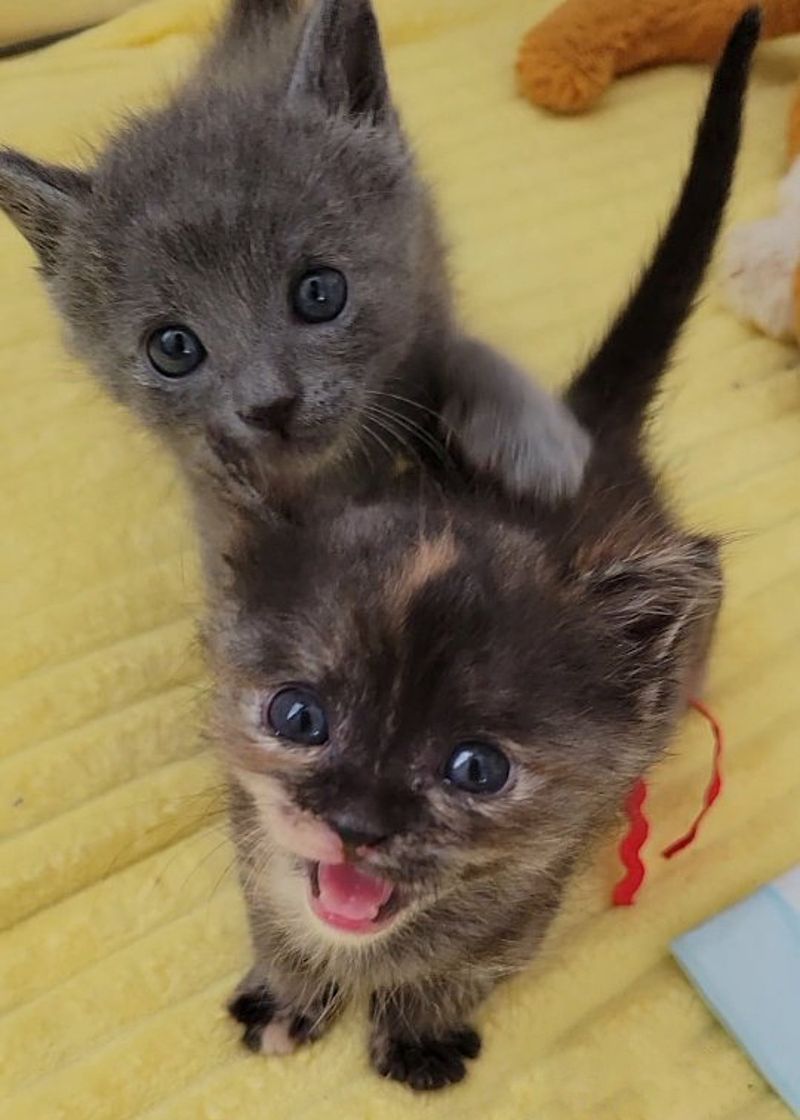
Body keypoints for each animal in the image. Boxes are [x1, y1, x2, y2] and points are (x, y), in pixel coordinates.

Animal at [0, 0, 587, 568]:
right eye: (173, 347)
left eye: (319, 292)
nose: (269, 407)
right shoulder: (205, 471)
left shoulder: (425, 281)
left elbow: (457, 348)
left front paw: (535, 439)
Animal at [202, 13, 757, 1088]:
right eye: (298, 715)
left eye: (478, 769)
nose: (357, 827)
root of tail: (590, 433)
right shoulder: (252, 828)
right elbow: (273, 909)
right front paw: (289, 992)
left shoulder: (546, 863)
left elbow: (482, 949)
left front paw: (420, 1028)